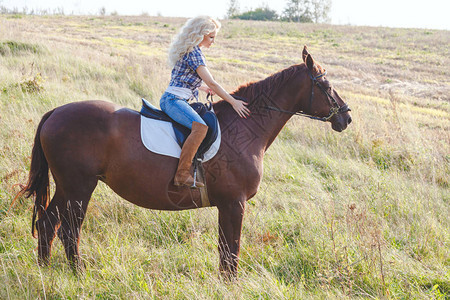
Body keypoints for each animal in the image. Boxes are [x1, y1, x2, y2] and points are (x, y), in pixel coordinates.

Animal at [22, 45, 352, 278]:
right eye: (325, 85)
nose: (346, 117)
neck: (245, 127)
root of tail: (56, 112)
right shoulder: (234, 203)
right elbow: (231, 251)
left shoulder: (227, 205)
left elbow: (225, 251)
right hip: (79, 188)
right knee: (69, 229)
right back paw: (78, 274)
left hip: (67, 187)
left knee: (47, 223)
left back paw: (44, 270)